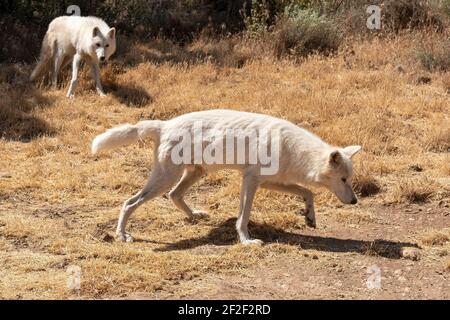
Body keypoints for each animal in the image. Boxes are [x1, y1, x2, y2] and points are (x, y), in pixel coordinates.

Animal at [91, 110, 362, 245]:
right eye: (343, 180)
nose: (355, 202)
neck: (293, 149)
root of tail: (165, 124)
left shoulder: (269, 181)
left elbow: (308, 191)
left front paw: (310, 217)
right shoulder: (251, 181)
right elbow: (244, 216)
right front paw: (247, 240)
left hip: (192, 174)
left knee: (174, 195)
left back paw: (195, 216)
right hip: (165, 179)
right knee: (129, 202)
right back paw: (122, 235)